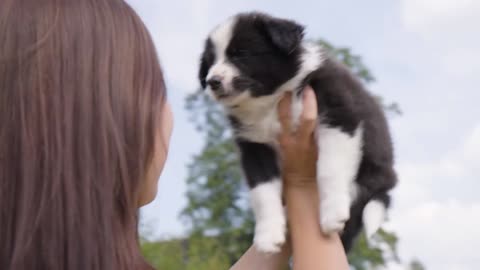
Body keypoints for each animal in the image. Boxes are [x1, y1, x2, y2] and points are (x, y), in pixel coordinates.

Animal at [197, 11, 396, 253]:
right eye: (210, 62)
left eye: (240, 54)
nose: (212, 81)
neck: (269, 101)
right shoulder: (254, 145)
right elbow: (262, 189)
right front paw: (268, 235)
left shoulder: (340, 117)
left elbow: (329, 168)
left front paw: (332, 213)